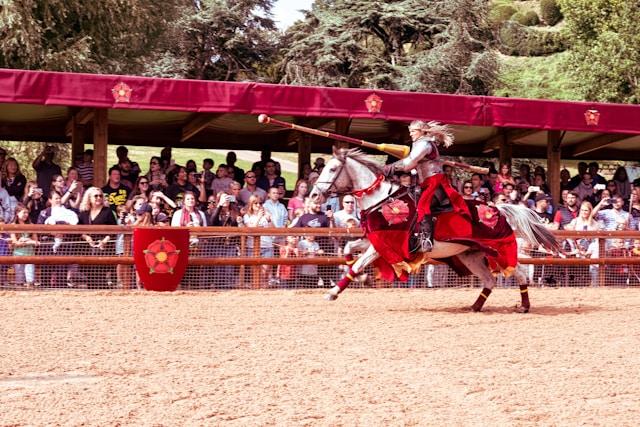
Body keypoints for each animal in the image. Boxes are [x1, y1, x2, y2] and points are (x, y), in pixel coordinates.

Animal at [309, 147, 561, 312]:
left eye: (332, 169)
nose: (313, 196)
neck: (381, 199)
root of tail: (496, 209)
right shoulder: (374, 240)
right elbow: (349, 250)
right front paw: (362, 278)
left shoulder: (385, 245)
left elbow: (358, 263)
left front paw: (334, 292)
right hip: (470, 255)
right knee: (489, 280)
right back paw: (474, 306)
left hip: (498, 251)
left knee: (519, 273)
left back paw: (524, 306)